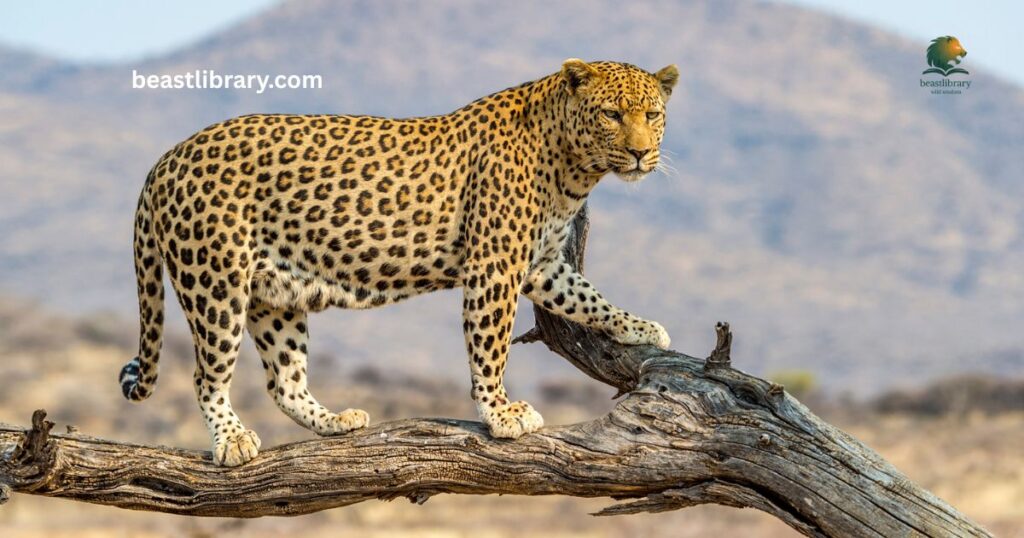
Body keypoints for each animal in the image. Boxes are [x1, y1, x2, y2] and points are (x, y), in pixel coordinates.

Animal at [120, 59, 679, 466]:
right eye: (611, 114)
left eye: (651, 116)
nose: (640, 153)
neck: (573, 169)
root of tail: (164, 160)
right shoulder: (494, 266)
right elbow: (490, 346)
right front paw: (499, 413)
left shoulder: (540, 264)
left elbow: (588, 297)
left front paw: (640, 327)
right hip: (215, 283)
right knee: (207, 376)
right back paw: (232, 442)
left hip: (274, 295)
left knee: (284, 381)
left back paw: (334, 422)